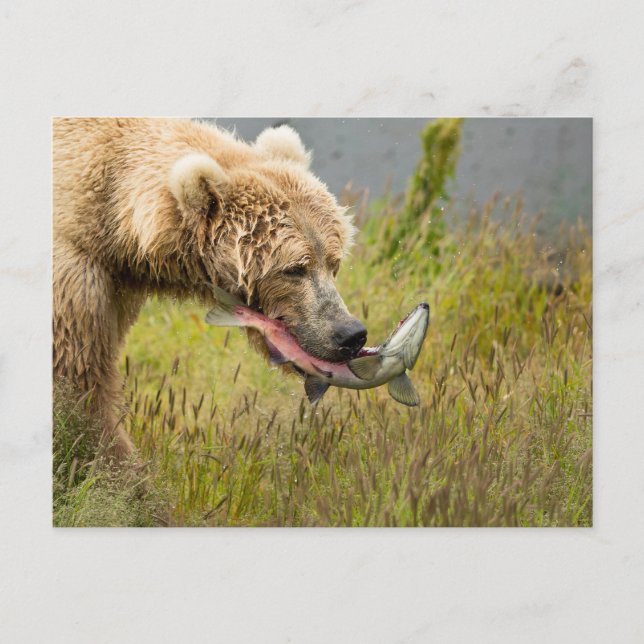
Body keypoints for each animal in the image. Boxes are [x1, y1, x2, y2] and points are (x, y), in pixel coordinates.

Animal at [53, 118, 367, 460]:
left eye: (334, 263)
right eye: (294, 269)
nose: (350, 334)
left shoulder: (116, 284)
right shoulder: (75, 270)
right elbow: (78, 376)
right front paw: (120, 463)